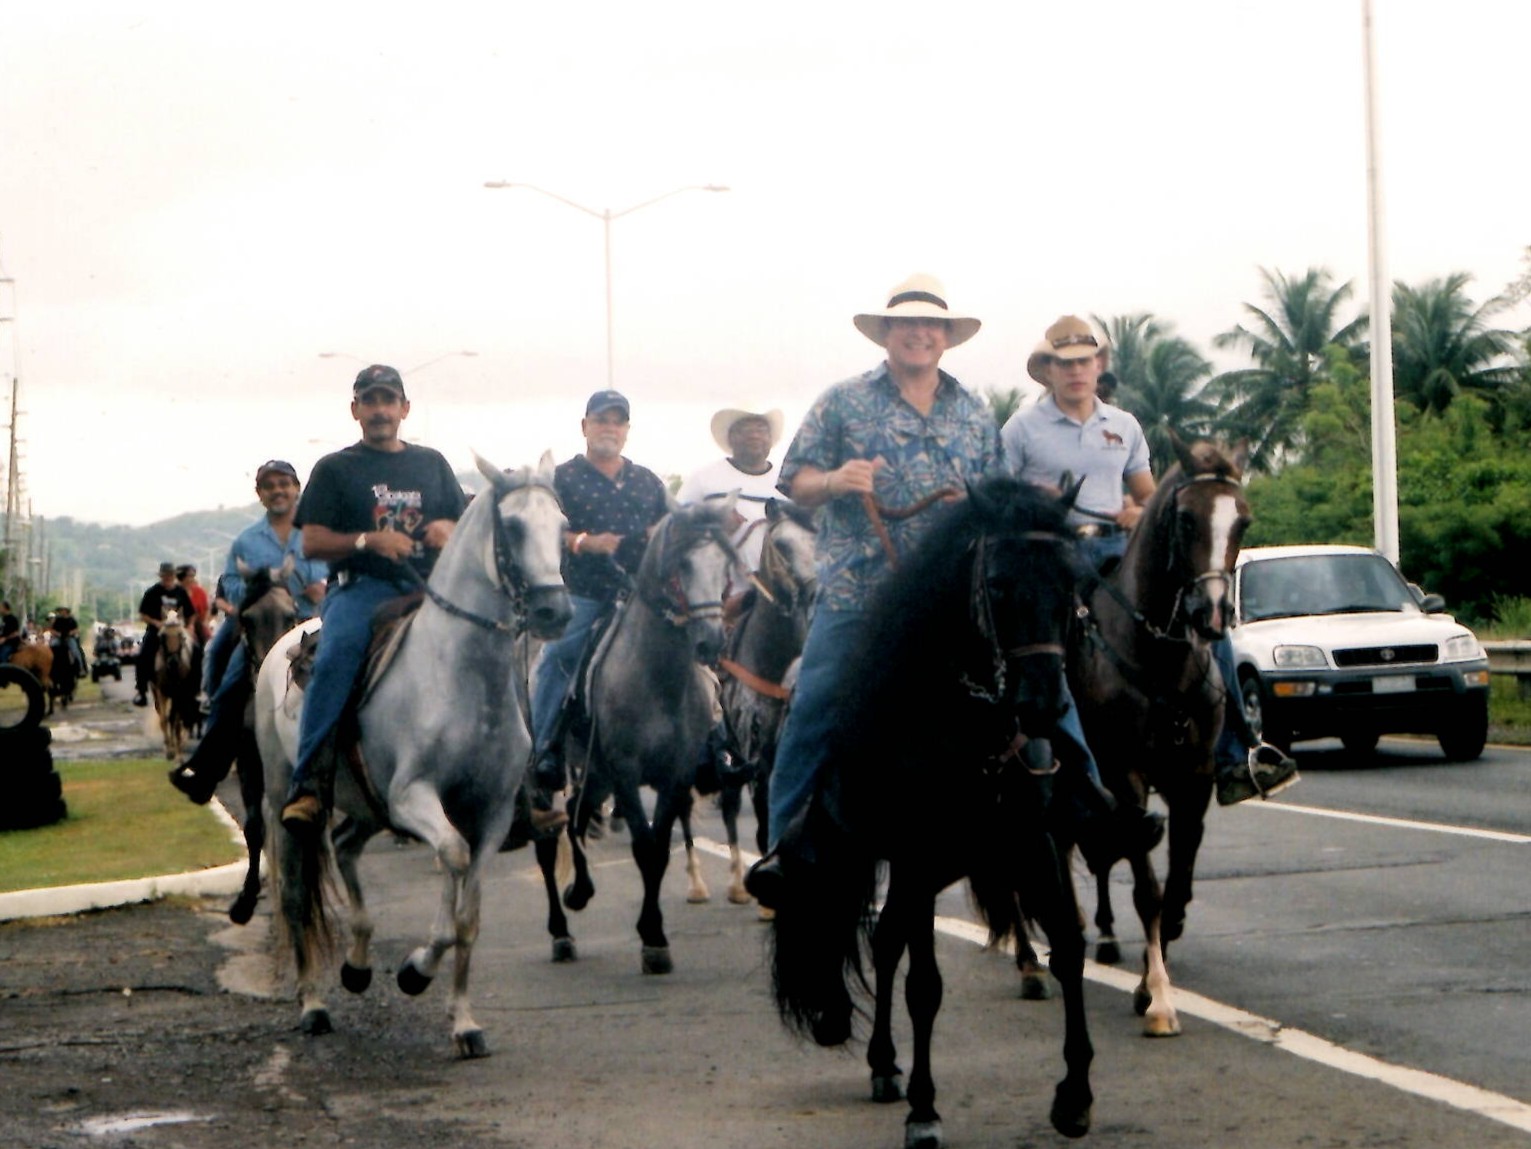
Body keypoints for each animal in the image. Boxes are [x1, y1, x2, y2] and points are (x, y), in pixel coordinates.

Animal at [152, 611, 198, 760]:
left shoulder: (180, 693)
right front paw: (169, 750)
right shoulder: (161, 691)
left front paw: (177, 752)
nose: (173, 662)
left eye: (181, 635)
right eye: (162, 636)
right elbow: (164, 719)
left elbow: (176, 721)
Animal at [253, 451, 570, 1055]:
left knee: (345, 846)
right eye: (514, 526)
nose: (555, 612)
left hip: (366, 806)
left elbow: (468, 917)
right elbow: (452, 859)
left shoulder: (491, 814)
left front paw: (464, 1022)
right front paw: (415, 970)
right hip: (287, 796)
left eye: (562, 526)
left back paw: (356, 965)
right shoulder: (413, 798)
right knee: (296, 893)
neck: (461, 677)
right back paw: (313, 1005)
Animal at [534, 495, 738, 973]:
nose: (711, 642)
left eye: (724, 566)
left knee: (578, 813)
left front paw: (655, 934)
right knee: (548, 843)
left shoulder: (675, 775)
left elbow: (660, 849)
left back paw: (581, 890)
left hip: (596, 773)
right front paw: (653, 939)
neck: (656, 678)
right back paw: (560, 934)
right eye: (682, 564)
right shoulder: (627, 773)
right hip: (548, 778)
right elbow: (644, 847)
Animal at [768, 475, 1095, 1148]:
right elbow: (924, 987)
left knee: (885, 939)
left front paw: (1074, 1095)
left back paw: (883, 1062)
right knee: (857, 928)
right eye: (998, 583)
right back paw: (858, 1040)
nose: (1043, 703)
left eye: (1072, 580)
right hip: (866, 859)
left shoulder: (1034, 842)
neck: (964, 725)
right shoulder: (916, 857)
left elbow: (1070, 948)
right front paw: (924, 1110)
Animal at [1067, 436, 1250, 1038]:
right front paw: (1161, 1001)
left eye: (1242, 520)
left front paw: (1151, 979)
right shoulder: (1126, 775)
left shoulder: (1192, 779)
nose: (1212, 613)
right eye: (1187, 519)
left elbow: (1176, 885)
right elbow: (1147, 890)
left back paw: (1099, 934)